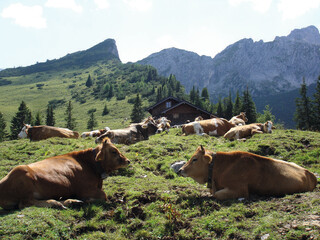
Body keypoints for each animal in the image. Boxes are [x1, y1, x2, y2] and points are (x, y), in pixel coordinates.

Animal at [0, 138, 130, 209]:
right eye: (114, 151)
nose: (128, 161)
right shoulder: (84, 188)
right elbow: (104, 195)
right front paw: (88, 200)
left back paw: (71, 202)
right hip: (22, 173)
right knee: (25, 203)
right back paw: (56, 203)